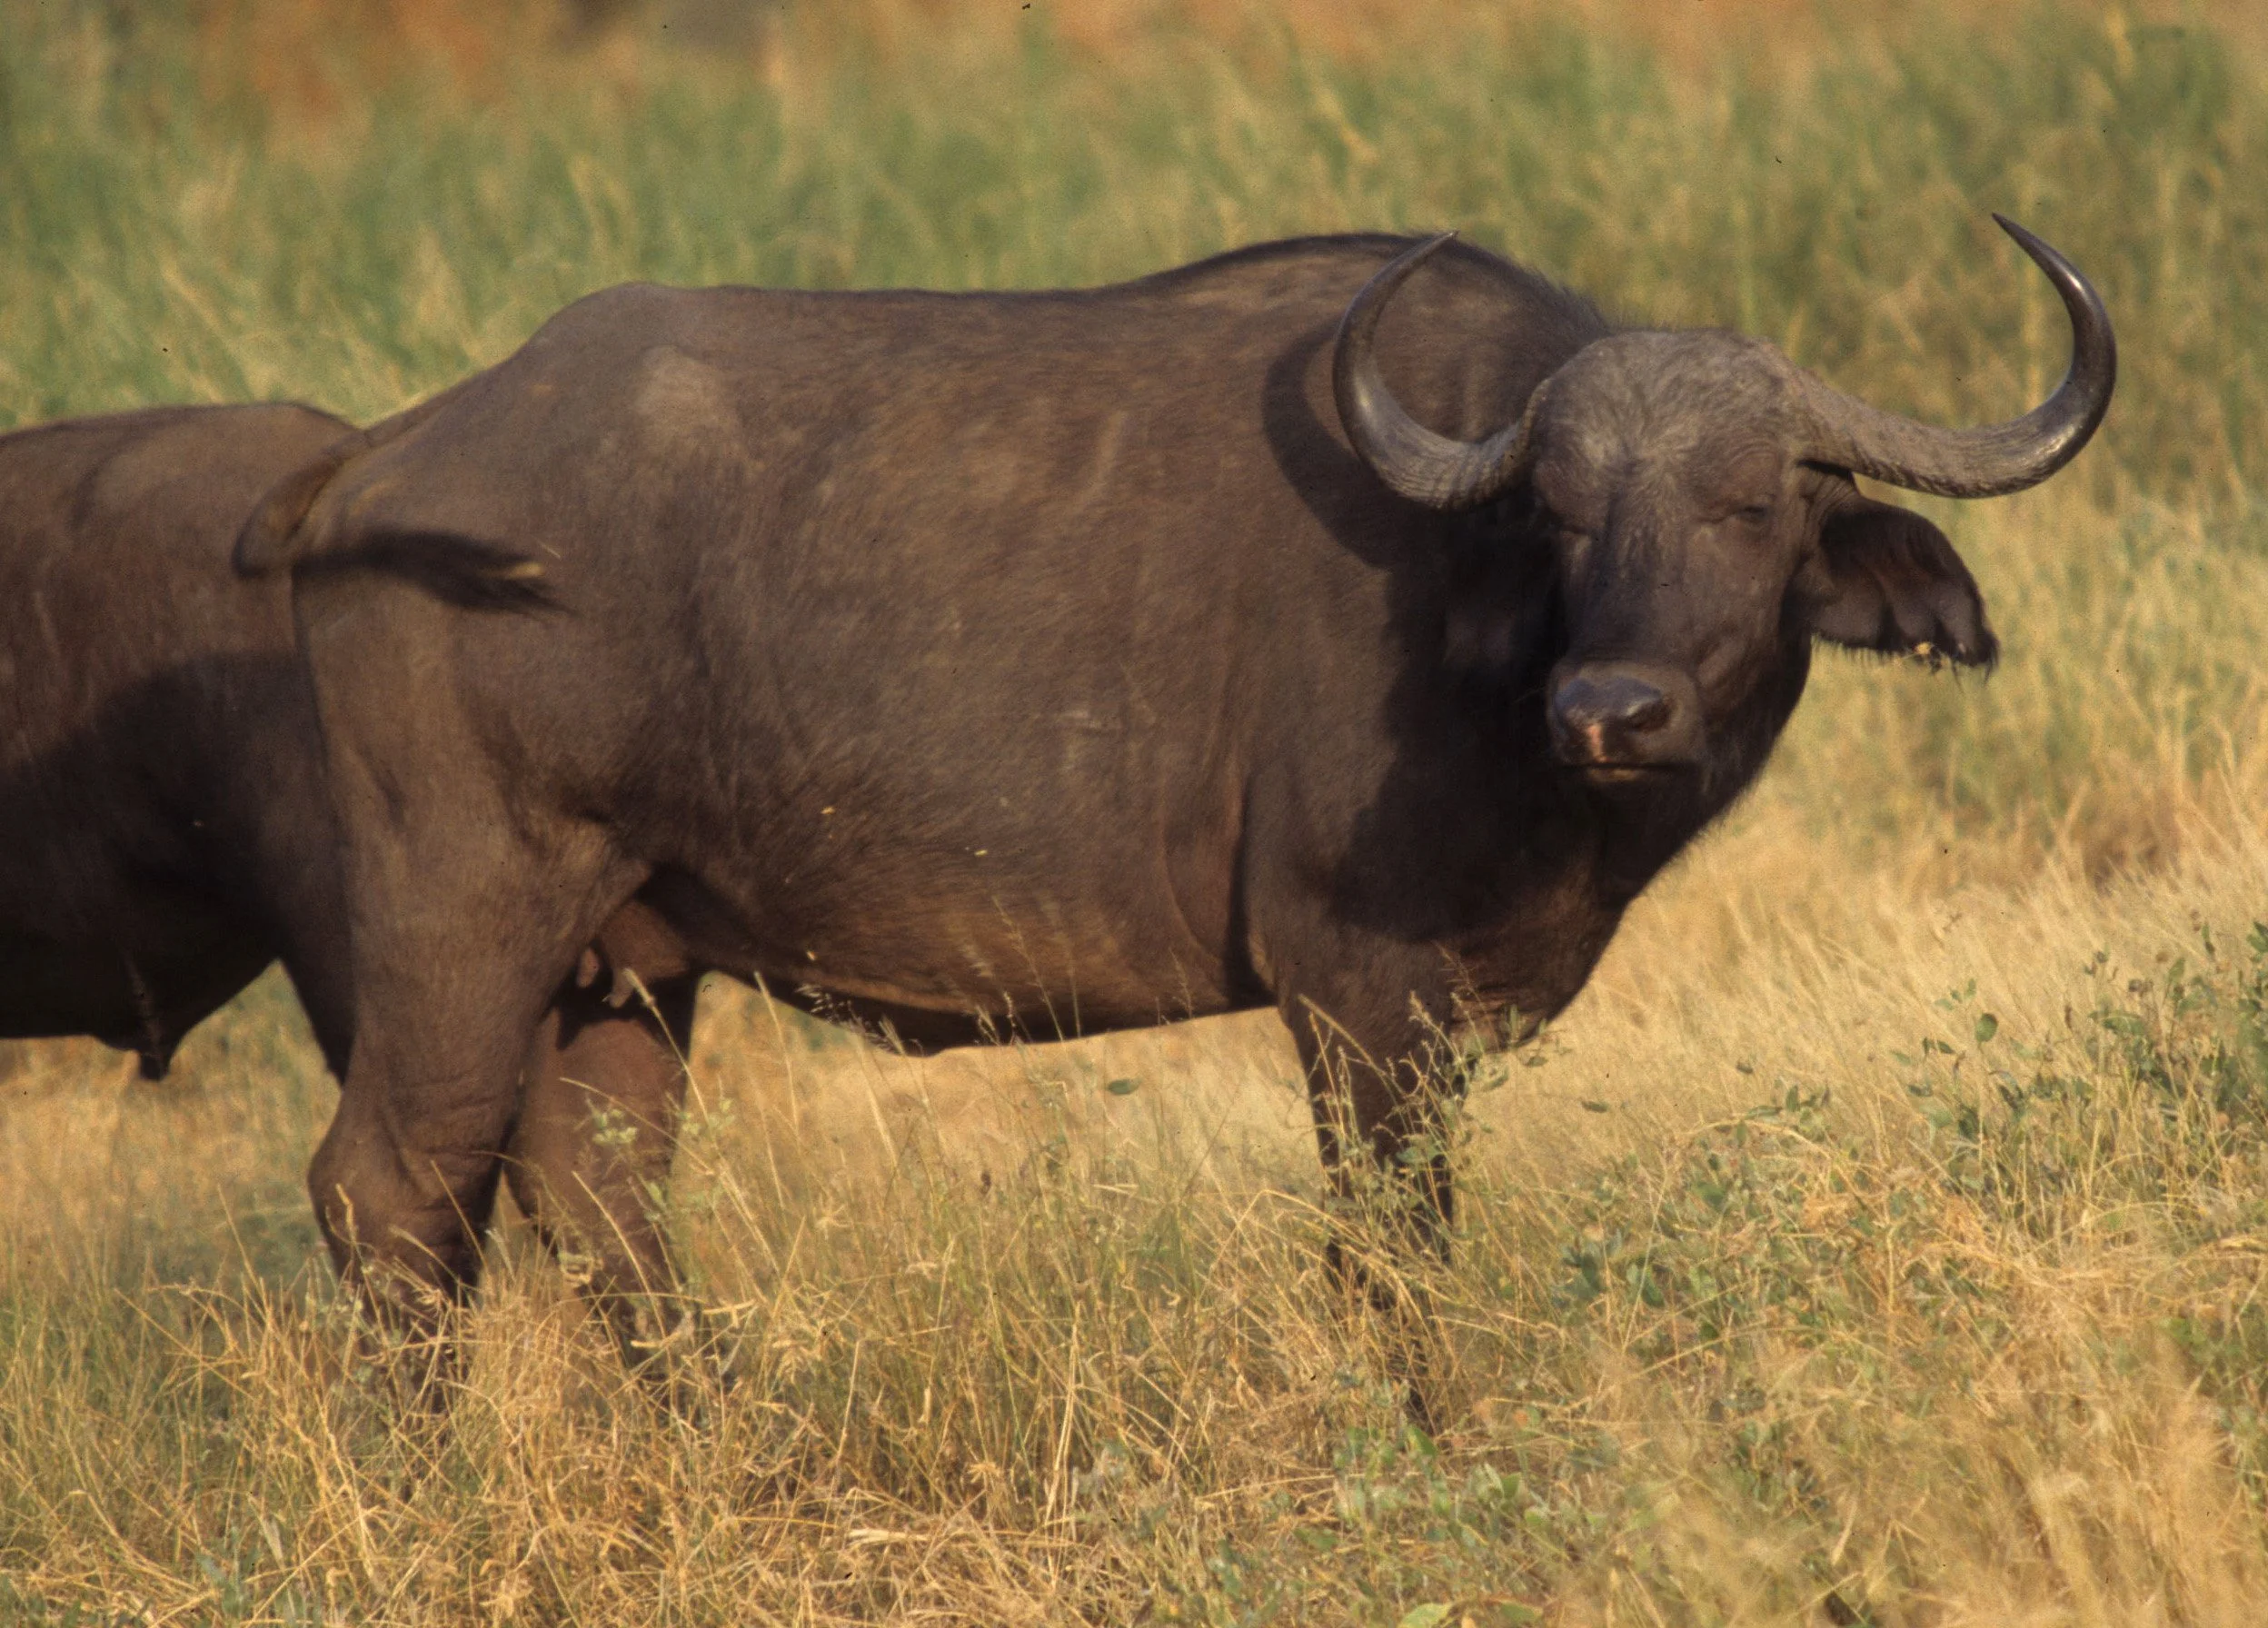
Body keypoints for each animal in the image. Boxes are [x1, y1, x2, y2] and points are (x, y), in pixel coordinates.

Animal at [239, 217, 2111, 1350]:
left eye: (1750, 501)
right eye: (1566, 511)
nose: (1611, 707)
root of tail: (382, 455)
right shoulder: (1354, 985)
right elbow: (1392, 1249)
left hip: (627, 959)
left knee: (595, 1196)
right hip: (464, 916)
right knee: (392, 1189)